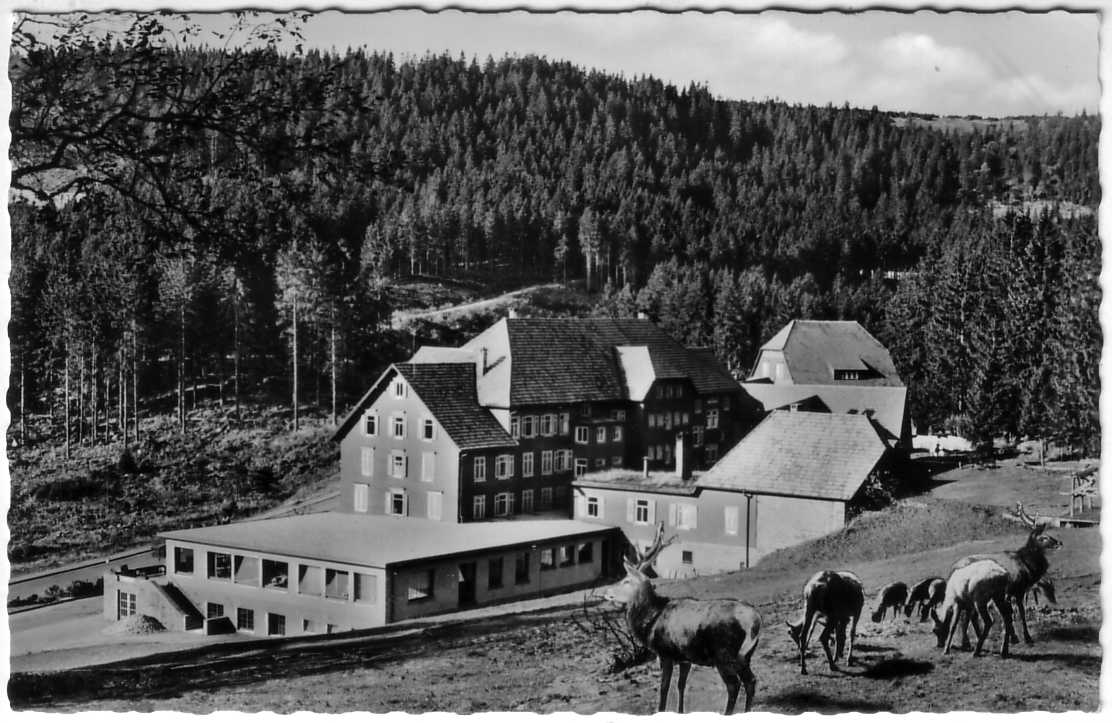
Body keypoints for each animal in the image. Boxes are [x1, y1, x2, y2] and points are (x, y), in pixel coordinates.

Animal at [603, 557, 762, 714]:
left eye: (626, 580)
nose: (606, 591)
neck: (651, 621)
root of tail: (755, 620)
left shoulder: (665, 654)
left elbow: (664, 688)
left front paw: (661, 710)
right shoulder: (685, 658)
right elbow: (681, 685)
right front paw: (680, 711)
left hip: (724, 655)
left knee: (734, 685)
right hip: (745, 655)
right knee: (751, 680)